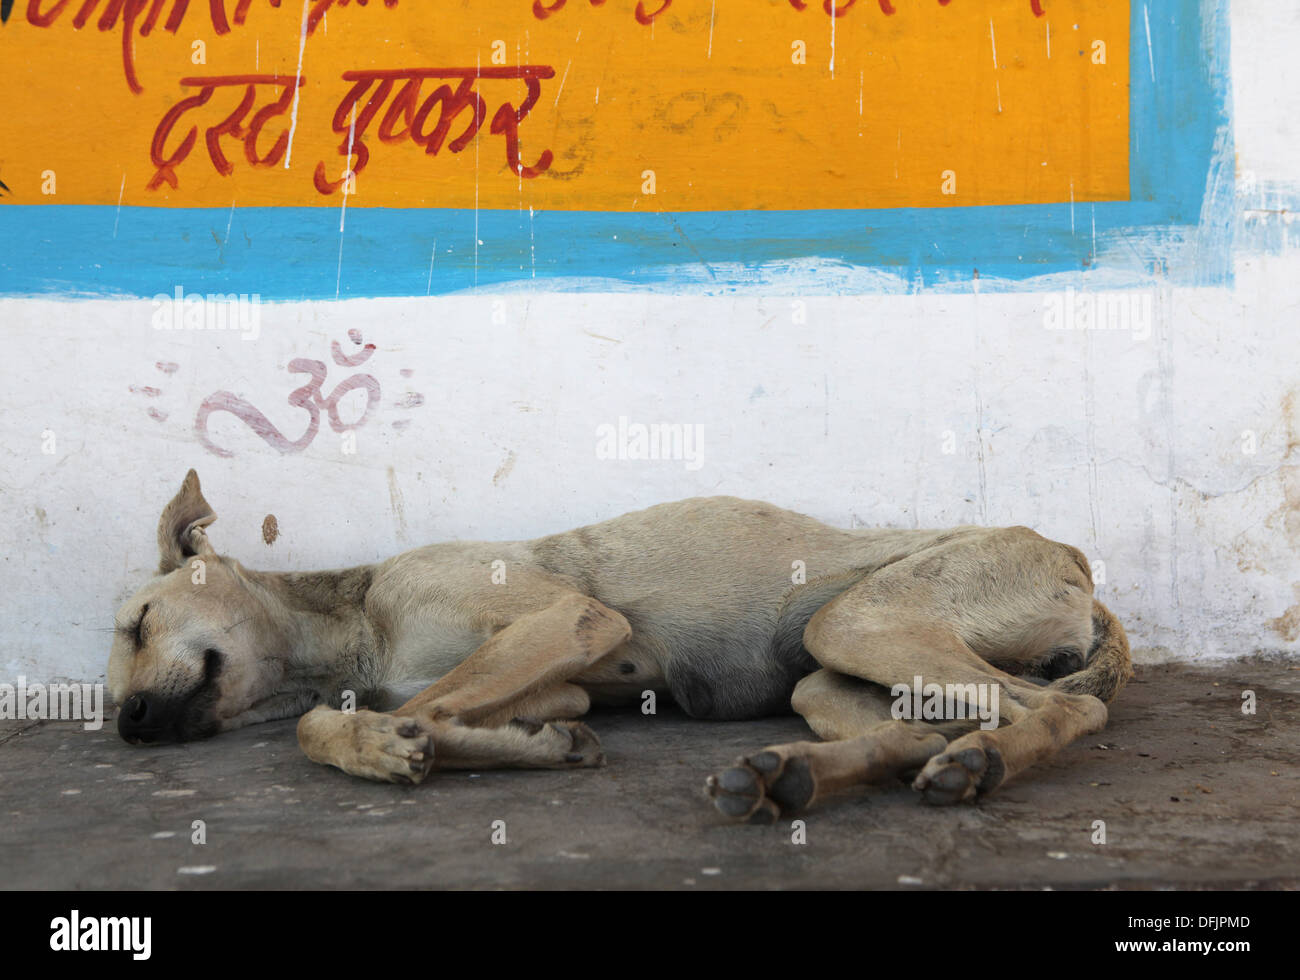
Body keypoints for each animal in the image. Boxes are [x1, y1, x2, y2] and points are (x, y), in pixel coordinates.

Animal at [109, 470, 1128, 821]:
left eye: (138, 623)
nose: (127, 723)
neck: (355, 623)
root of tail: (1078, 558)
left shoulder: (571, 622)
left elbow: (344, 721)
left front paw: (388, 745)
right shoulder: (551, 676)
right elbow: (442, 712)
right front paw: (527, 745)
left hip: (861, 621)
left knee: (1067, 706)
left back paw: (984, 764)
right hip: (833, 673)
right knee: (911, 731)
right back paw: (786, 777)